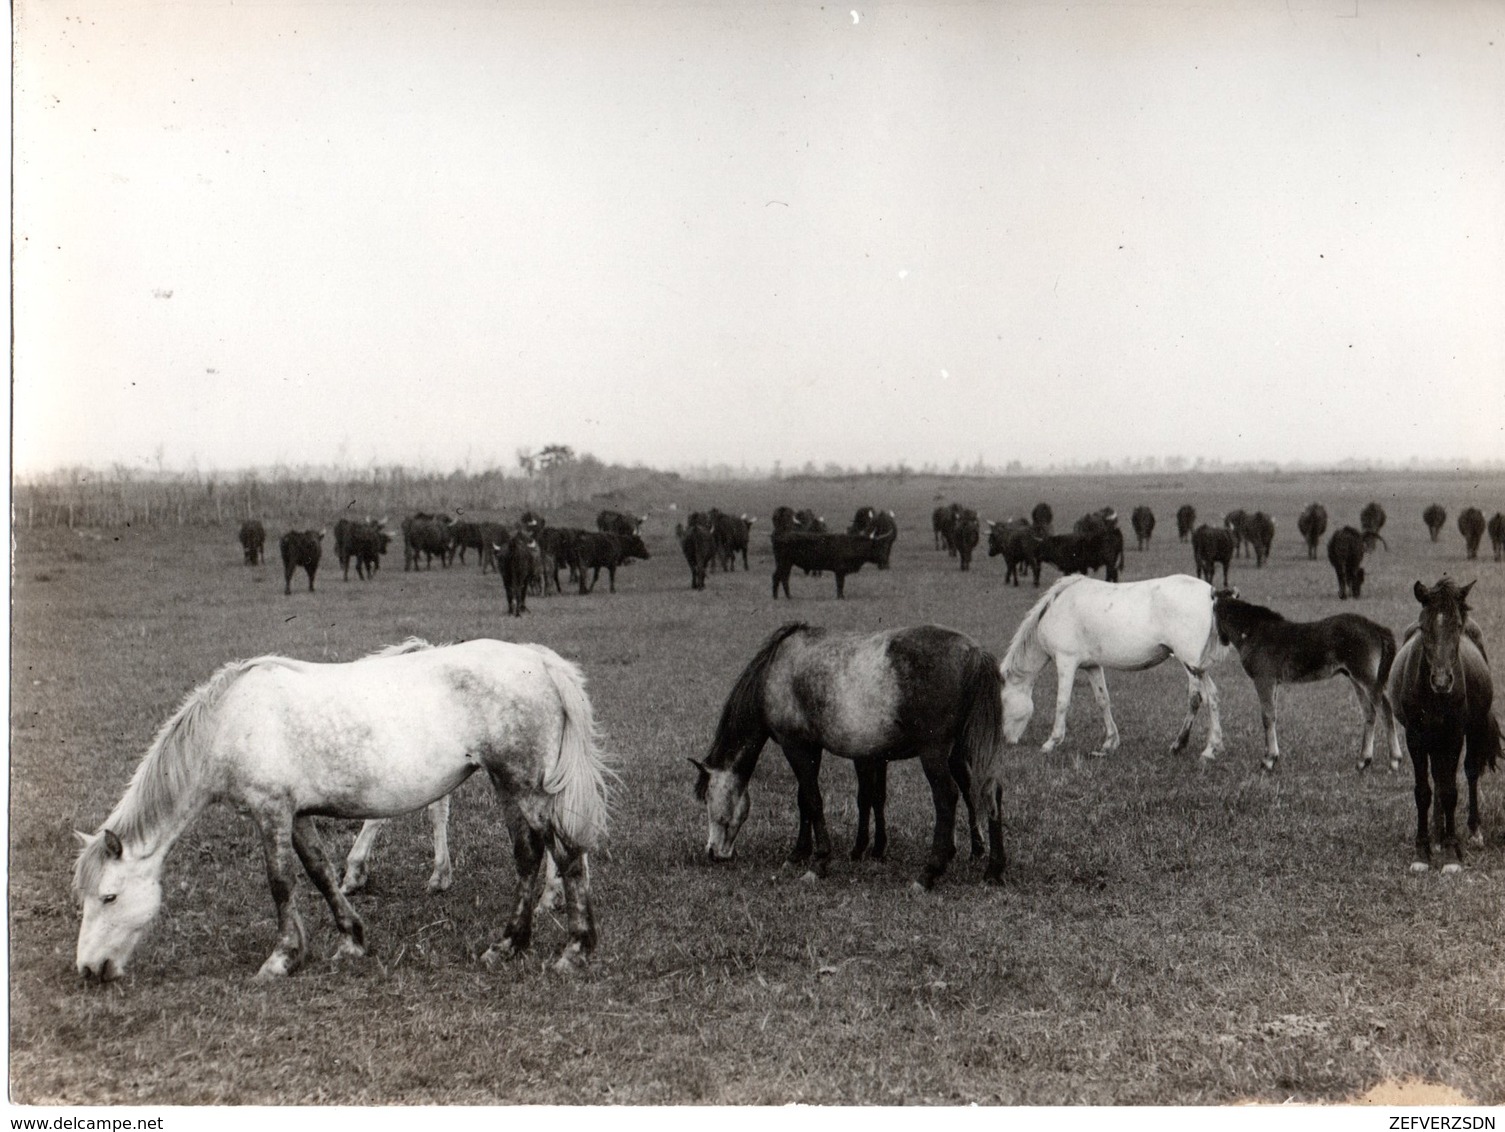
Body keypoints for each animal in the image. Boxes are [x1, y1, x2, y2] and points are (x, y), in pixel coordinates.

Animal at [70, 638, 611, 981]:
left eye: (109, 897)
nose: (90, 970)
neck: (231, 722)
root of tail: (538, 660)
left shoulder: (271, 811)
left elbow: (281, 882)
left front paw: (282, 959)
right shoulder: (297, 814)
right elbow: (320, 871)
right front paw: (351, 939)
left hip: (522, 784)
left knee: (559, 855)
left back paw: (568, 950)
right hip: (511, 785)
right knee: (533, 856)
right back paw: (512, 945)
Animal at [692, 623, 1011, 891]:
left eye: (708, 798)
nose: (712, 852)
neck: (776, 671)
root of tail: (975, 653)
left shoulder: (796, 746)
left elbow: (813, 800)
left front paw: (819, 862)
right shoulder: (813, 748)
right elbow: (805, 800)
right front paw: (799, 854)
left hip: (934, 752)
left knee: (947, 797)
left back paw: (929, 873)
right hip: (965, 749)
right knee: (990, 791)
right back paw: (993, 870)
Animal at [999, 578, 1234, 755]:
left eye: (1002, 703)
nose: (1007, 740)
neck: (1057, 608)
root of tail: (1210, 592)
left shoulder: (1066, 661)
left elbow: (1062, 702)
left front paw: (1052, 742)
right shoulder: (1092, 666)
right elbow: (1103, 700)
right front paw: (1110, 742)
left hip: (1192, 665)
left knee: (1200, 698)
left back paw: (1199, 747)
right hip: (1198, 667)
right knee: (1212, 696)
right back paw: (1210, 746)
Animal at [1210, 593, 1396, 770]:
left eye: (1214, 615)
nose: (1221, 640)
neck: (1253, 631)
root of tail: (1375, 627)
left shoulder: (1264, 680)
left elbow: (1267, 717)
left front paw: (1269, 760)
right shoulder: (1273, 683)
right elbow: (1272, 715)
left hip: (1366, 678)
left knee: (1385, 709)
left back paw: (1394, 760)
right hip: (1356, 679)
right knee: (1370, 713)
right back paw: (1363, 761)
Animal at [1384, 578, 1492, 873]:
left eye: (1457, 626)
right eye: (1424, 627)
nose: (1442, 681)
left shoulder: (1454, 735)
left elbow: (1450, 791)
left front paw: (1452, 856)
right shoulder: (1415, 737)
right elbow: (1424, 791)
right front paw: (1422, 852)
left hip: (1473, 729)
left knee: (1469, 772)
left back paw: (1472, 832)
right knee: (1437, 778)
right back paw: (1436, 834)